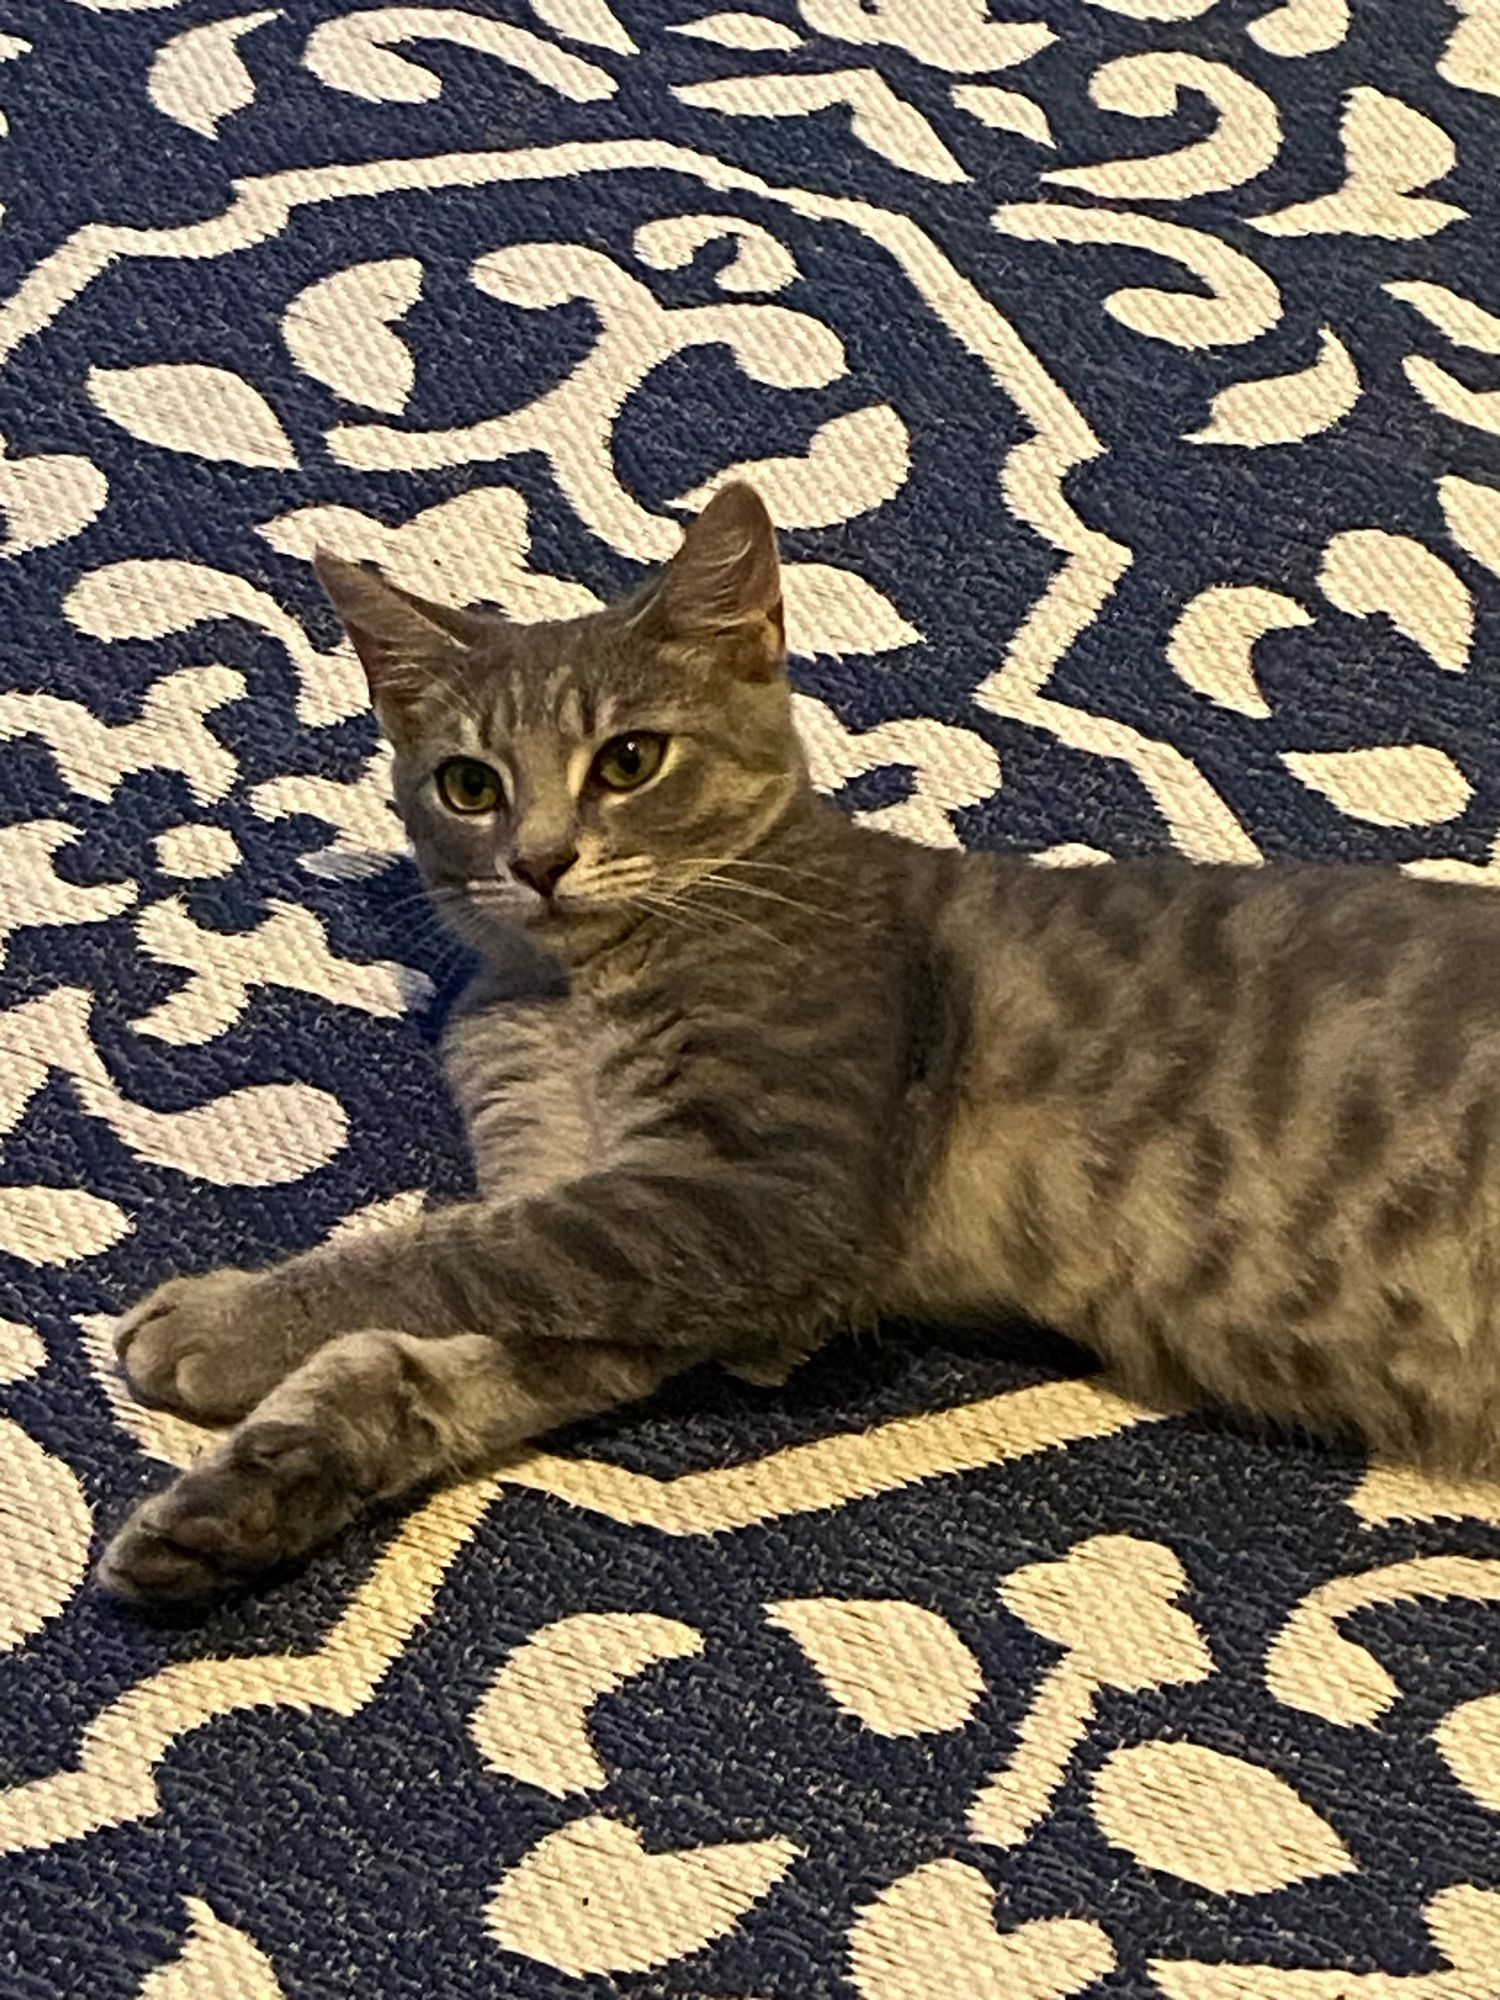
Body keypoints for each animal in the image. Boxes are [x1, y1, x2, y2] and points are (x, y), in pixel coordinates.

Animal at [100, 480, 1500, 1592]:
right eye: (468, 783)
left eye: (629, 760)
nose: (540, 861)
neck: (568, 991)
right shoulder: (661, 1245)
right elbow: (429, 1348)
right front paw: (254, 1493)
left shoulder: (757, 1195)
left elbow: (452, 1250)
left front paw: (223, 1320)